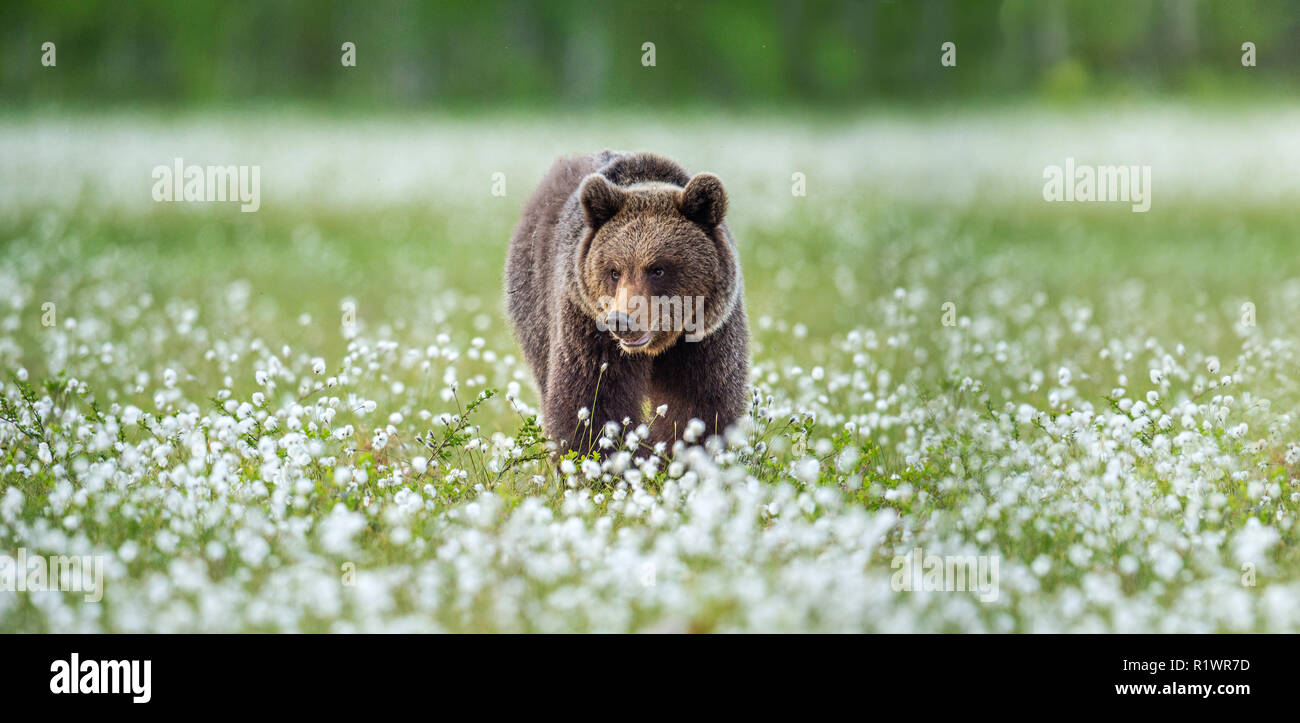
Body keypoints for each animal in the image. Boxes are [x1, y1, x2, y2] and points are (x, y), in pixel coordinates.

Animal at [505, 150, 749, 456]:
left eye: (658, 269)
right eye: (614, 270)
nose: (622, 320)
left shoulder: (706, 336)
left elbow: (700, 402)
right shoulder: (588, 327)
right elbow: (592, 399)